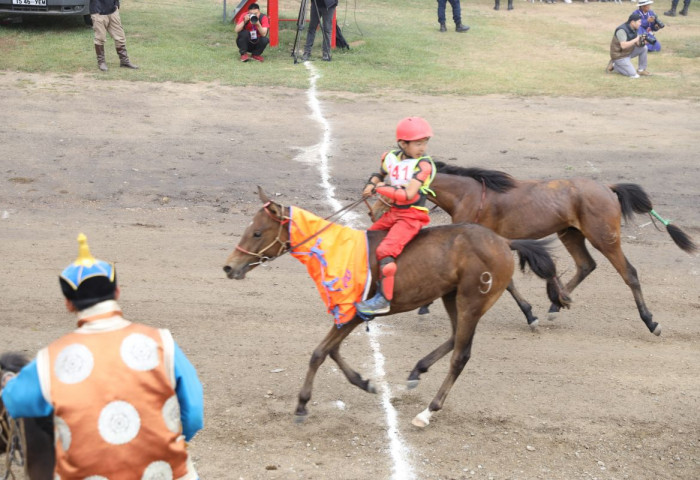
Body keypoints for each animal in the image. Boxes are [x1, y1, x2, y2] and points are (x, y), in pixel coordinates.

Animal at [224, 188, 568, 428]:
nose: (229, 267)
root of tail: (503, 242)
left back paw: (428, 411)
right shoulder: (347, 316)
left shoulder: (352, 313)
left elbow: (320, 353)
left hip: (471, 300)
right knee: (455, 338)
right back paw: (416, 372)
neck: (333, 251)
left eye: (257, 232)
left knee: (461, 354)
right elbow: (332, 351)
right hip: (451, 296)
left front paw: (301, 405)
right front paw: (366, 382)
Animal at [418, 163, 696, 336]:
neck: (469, 194)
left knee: (629, 273)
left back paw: (651, 322)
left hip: (604, 238)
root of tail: (608, 188)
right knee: (586, 265)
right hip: (570, 233)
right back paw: (557, 303)